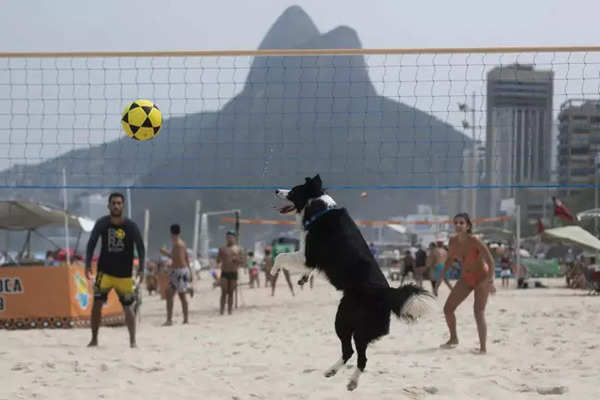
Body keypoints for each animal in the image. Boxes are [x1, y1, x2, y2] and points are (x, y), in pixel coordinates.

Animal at [272, 175, 432, 390]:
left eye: (293, 191)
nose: (276, 190)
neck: (319, 209)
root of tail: (388, 293)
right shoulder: (311, 259)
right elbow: (307, 268)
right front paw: (303, 277)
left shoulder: (309, 255)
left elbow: (281, 256)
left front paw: (274, 270)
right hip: (355, 325)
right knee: (354, 353)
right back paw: (334, 372)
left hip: (345, 322)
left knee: (356, 354)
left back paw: (350, 380)